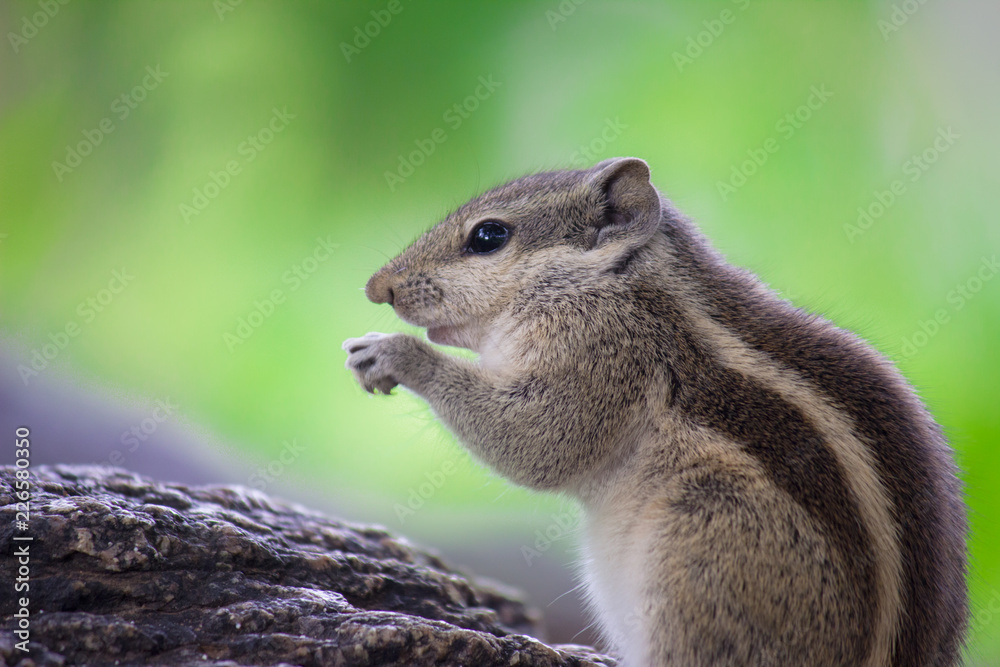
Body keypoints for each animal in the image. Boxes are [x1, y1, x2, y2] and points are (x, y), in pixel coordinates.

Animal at [343, 157, 968, 666]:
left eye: (488, 236)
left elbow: (540, 441)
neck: (622, 281)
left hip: (700, 547)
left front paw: (395, 352)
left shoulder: (603, 352)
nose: (377, 288)